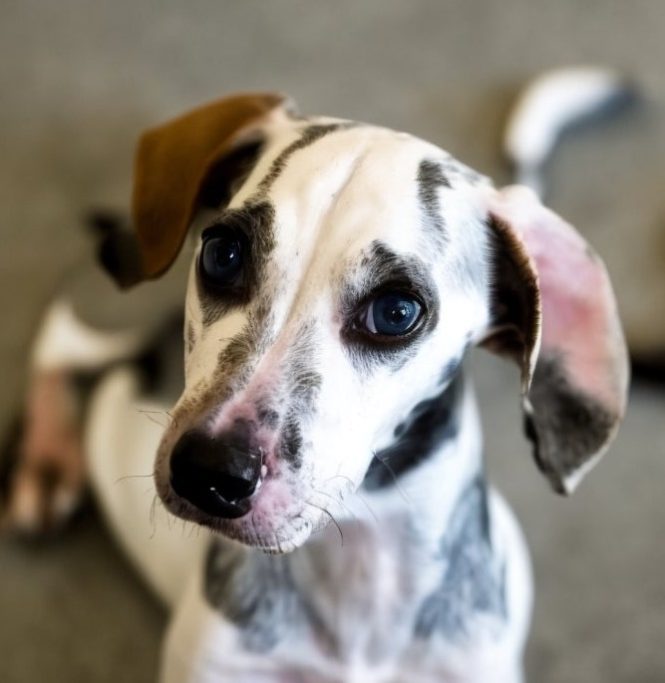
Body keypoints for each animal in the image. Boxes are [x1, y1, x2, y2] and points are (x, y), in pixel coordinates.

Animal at [0, 92, 624, 683]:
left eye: (396, 312)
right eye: (222, 254)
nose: (209, 472)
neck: (359, 579)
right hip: (113, 313)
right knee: (56, 340)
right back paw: (47, 460)